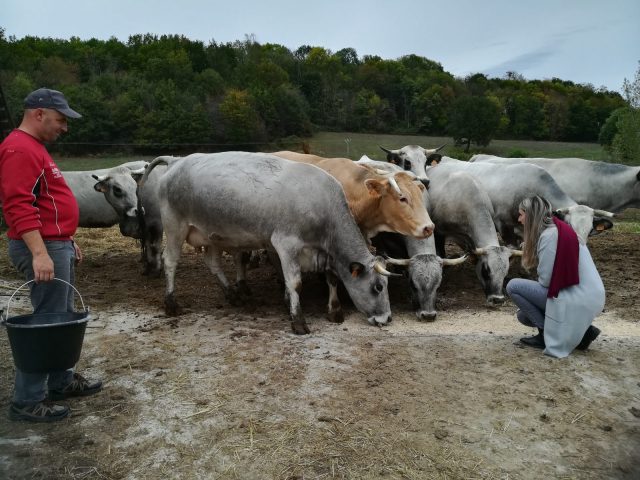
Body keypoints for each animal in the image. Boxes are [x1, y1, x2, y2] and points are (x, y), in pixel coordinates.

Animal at [144, 153, 396, 334]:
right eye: (378, 287)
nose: (388, 318)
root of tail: (177, 160)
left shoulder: (325, 253)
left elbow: (332, 278)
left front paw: (334, 311)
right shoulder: (286, 244)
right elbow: (295, 283)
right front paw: (298, 321)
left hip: (210, 233)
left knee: (213, 262)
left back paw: (232, 295)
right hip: (175, 226)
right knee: (170, 261)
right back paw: (171, 303)